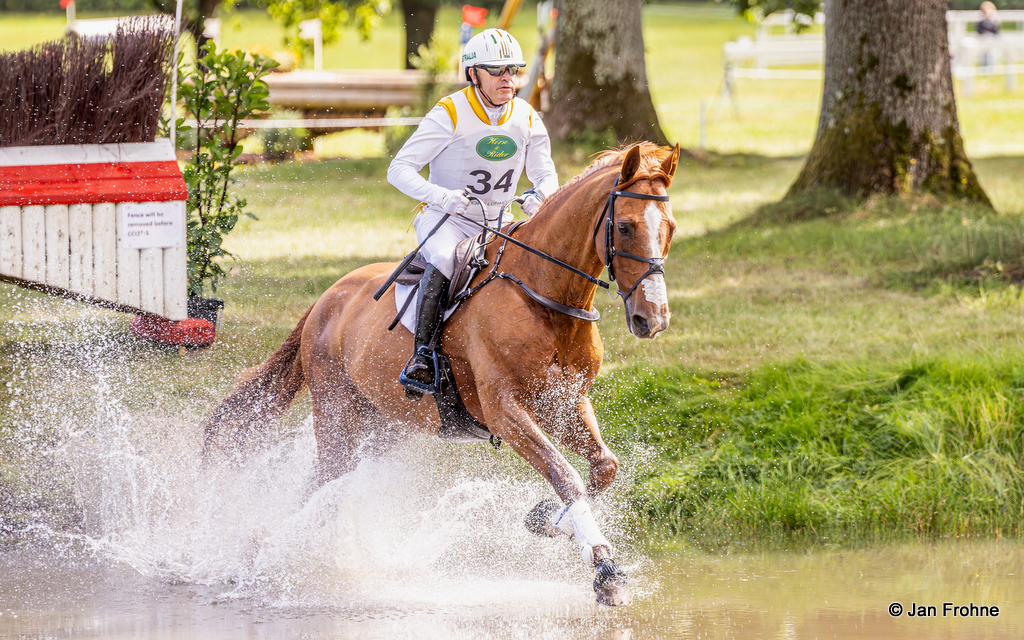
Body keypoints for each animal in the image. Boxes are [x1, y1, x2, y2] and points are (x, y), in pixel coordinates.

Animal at [202, 141, 680, 606]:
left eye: (671, 227)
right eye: (625, 228)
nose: (653, 319)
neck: (544, 296)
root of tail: (326, 298)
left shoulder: (565, 403)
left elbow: (603, 468)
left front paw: (545, 519)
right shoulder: (504, 409)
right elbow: (566, 475)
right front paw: (605, 571)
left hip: (383, 426)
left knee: (318, 488)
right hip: (337, 413)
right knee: (322, 480)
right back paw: (264, 559)